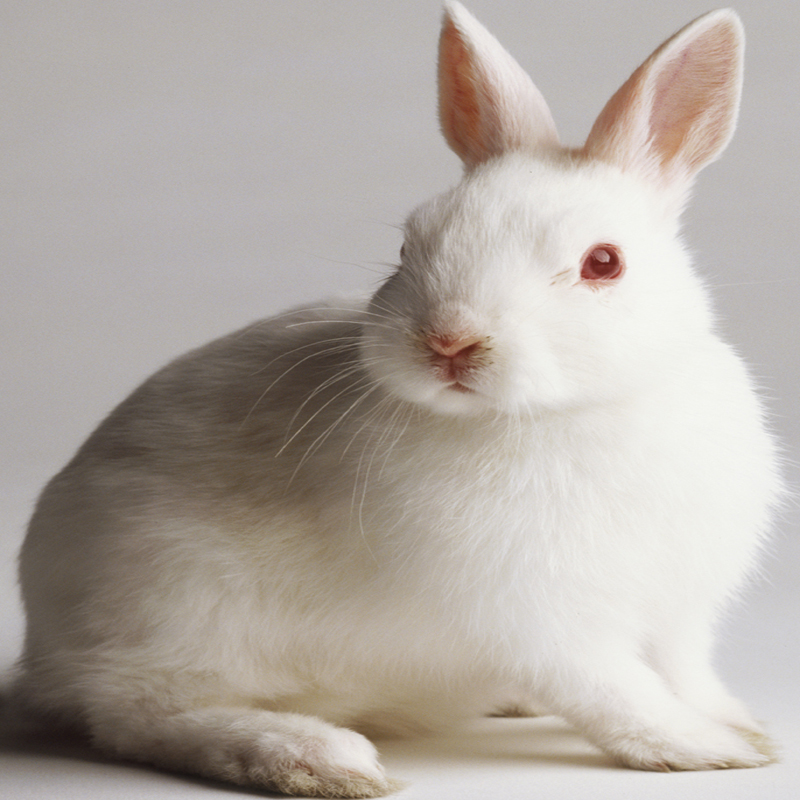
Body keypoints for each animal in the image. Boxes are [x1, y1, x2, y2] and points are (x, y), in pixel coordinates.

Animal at [13, 2, 782, 797]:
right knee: (137, 712)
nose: (449, 340)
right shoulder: (540, 620)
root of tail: (44, 647)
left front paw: (747, 728)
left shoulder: (679, 611)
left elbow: (686, 672)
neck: (568, 411)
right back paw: (311, 756)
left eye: (605, 263)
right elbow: (615, 692)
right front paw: (707, 750)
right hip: (177, 607)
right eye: (411, 248)